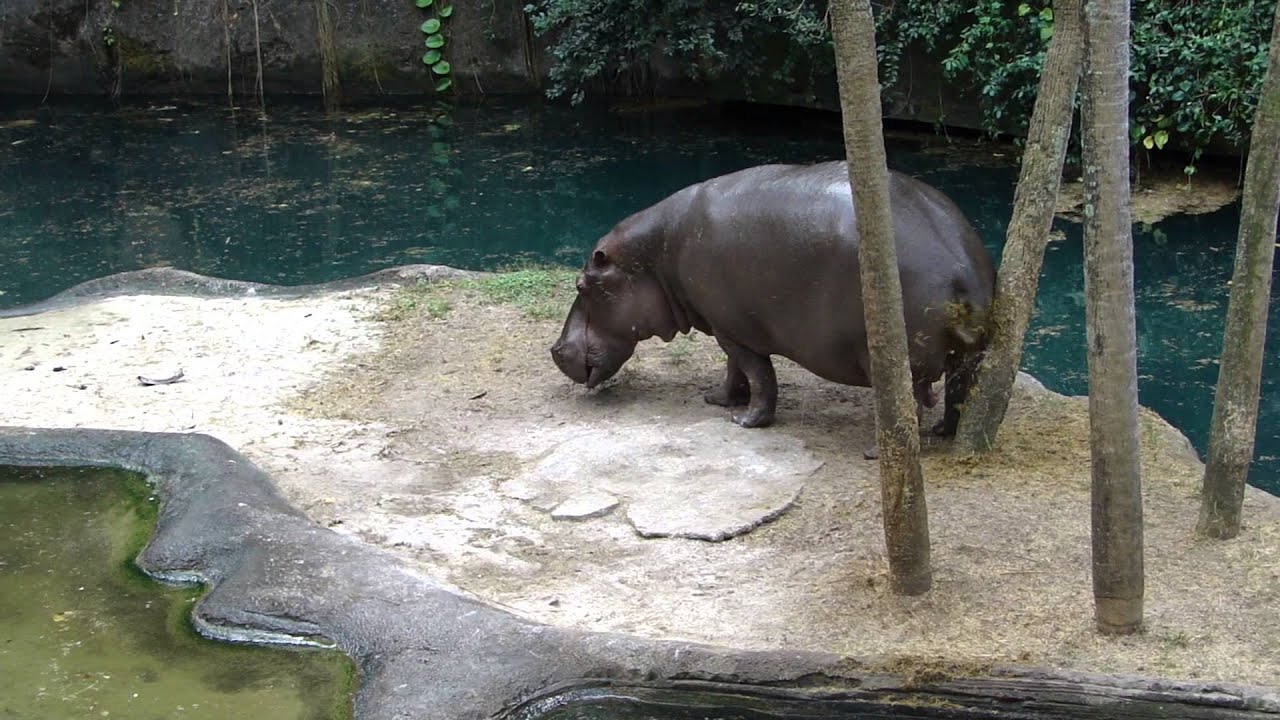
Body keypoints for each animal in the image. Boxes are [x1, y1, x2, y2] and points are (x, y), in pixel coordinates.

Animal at [549, 160, 996, 438]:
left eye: (582, 285)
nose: (554, 349)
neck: (656, 255)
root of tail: (959, 267)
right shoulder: (727, 326)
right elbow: (734, 371)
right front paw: (717, 400)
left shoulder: (737, 333)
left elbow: (760, 377)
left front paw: (745, 422)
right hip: (970, 356)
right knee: (959, 394)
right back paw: (945, 432)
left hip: (895, 359)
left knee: (910, 407)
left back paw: (877, 450)